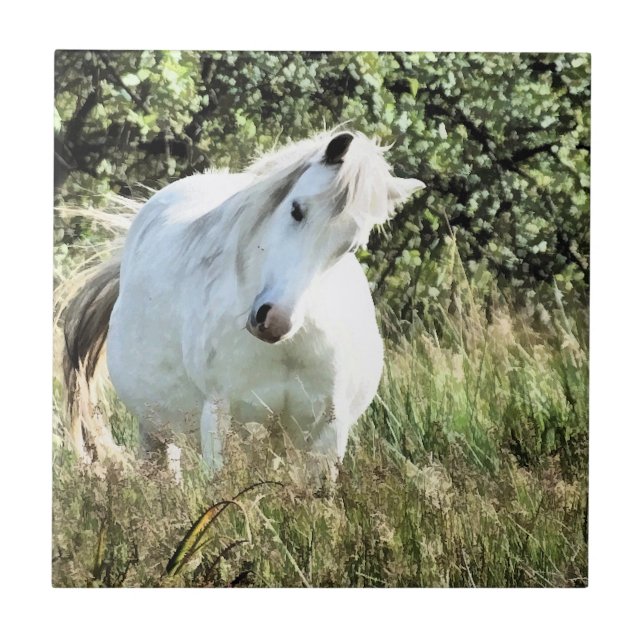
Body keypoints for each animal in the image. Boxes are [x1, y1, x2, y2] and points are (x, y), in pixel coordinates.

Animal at [62, 130, 424, 481]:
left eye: (351, 245)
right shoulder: (219, 418)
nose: (274, 320)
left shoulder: (327, 434)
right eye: (297, 209)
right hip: (155, 431)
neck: (289, 348)